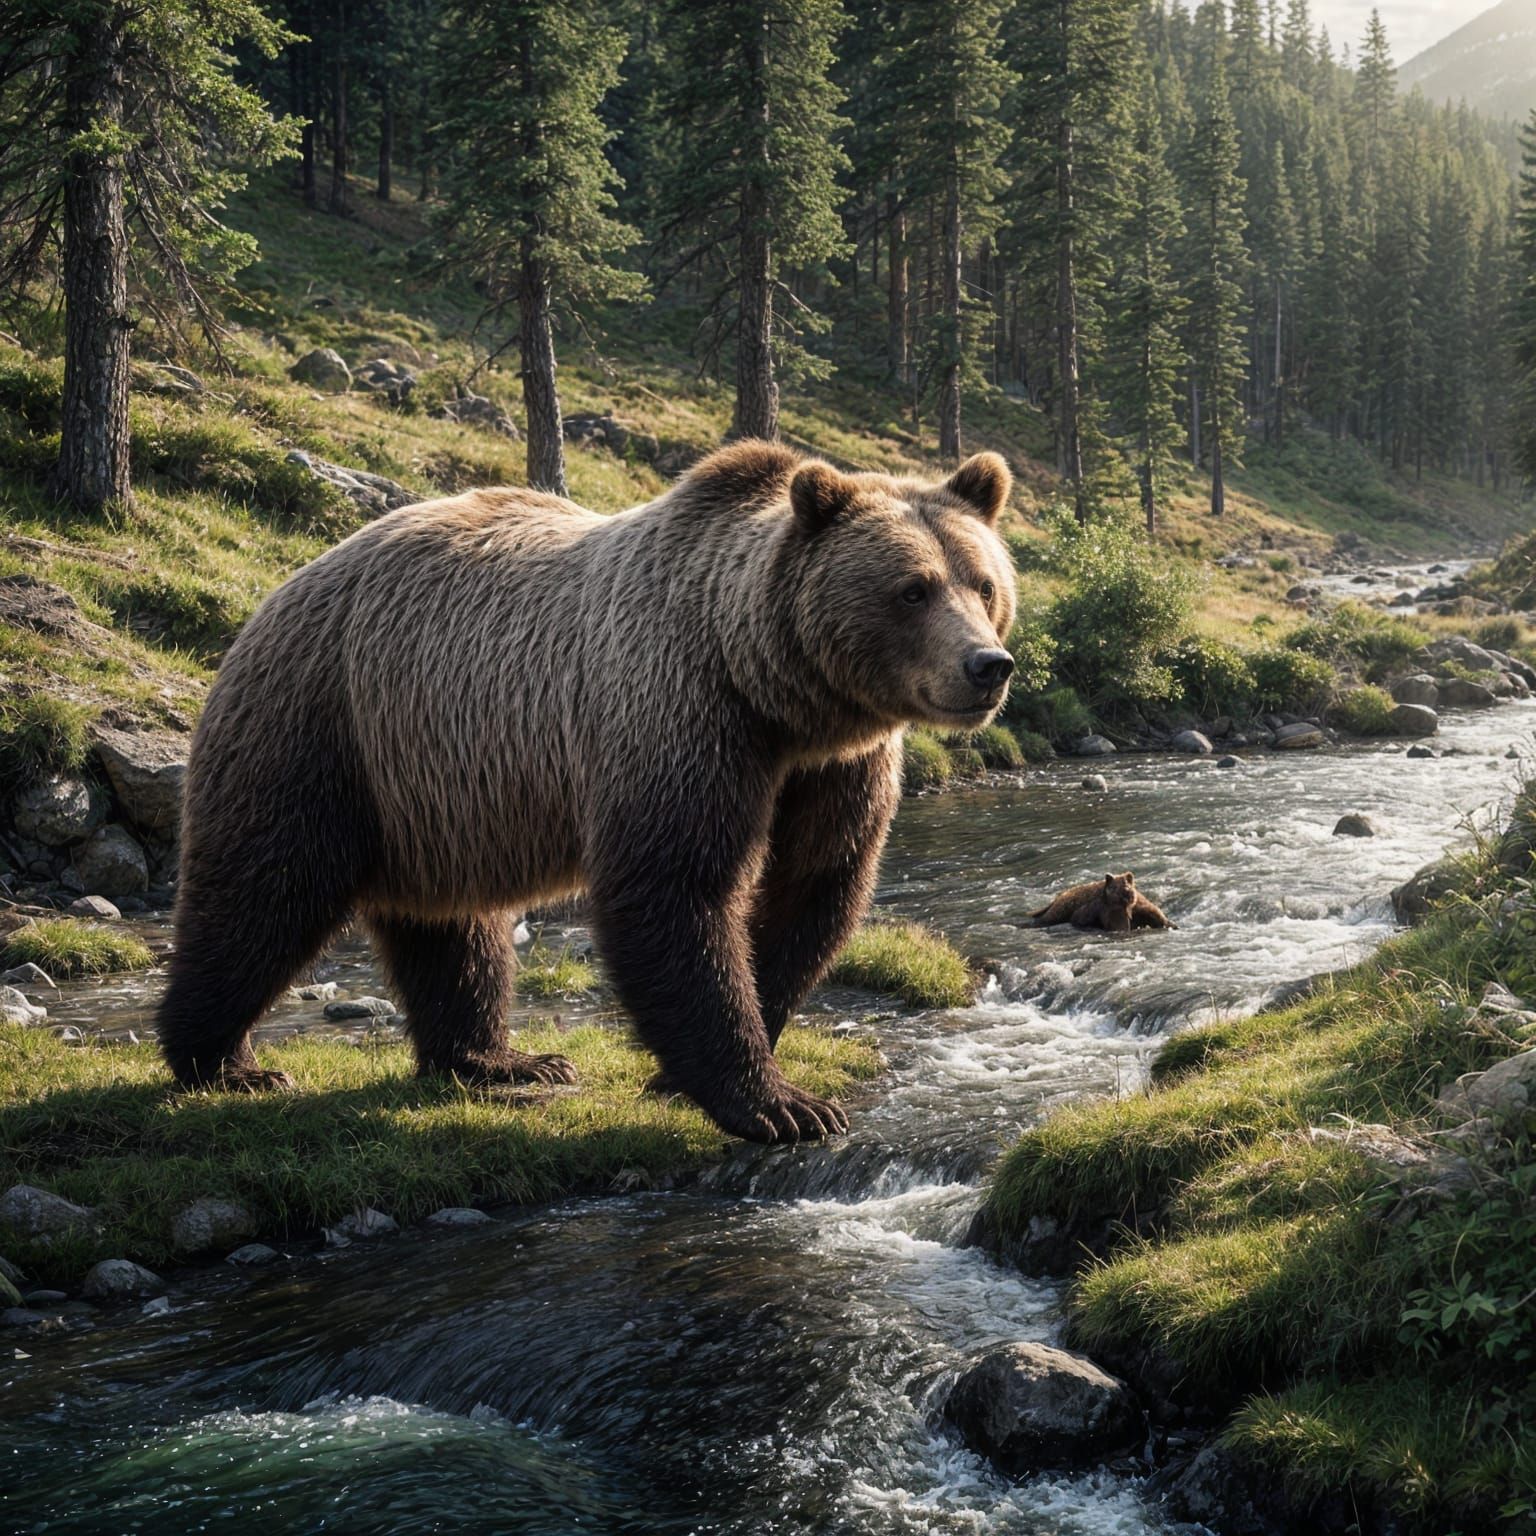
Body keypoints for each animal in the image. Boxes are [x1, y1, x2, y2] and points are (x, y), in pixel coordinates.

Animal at [155, 441, 1019, 1144]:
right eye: (912, 589)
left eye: (984, 583)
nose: (987, 664)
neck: (775, 694)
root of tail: (281, 589)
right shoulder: (675, 709)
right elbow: (675, 886)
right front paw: (779, 1104)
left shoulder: (836, 766)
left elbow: (815, 887)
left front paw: (727, 1064)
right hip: (321, 728)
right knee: (264, 889)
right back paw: (223, 1060)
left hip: (432, 792)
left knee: (452, 929)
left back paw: (497, 1059)